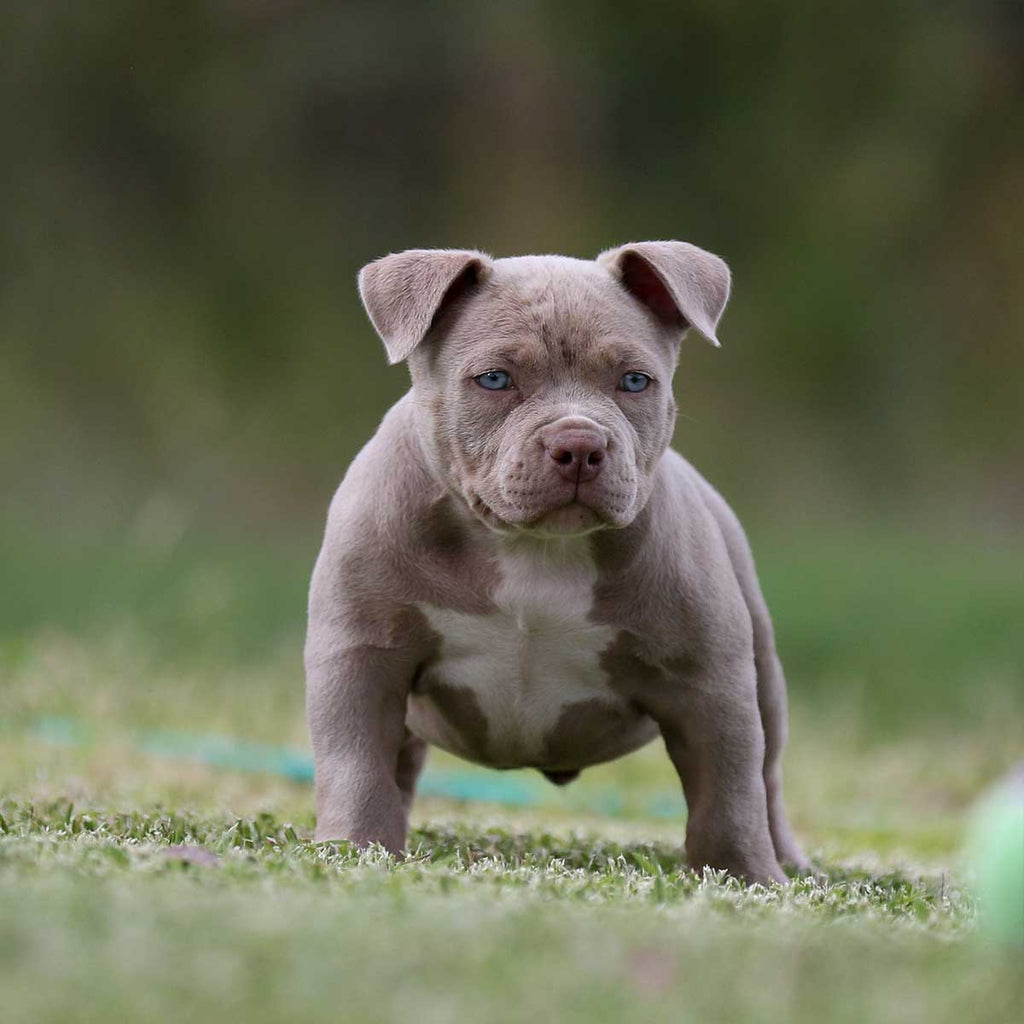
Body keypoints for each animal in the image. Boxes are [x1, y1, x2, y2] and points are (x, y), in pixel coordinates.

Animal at [303, 243, 806, 884]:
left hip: (763, 671)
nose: (580, 445)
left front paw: (745, 875)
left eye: (634, 381)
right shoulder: (362, 653)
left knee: (767, 776)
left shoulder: (709, 679)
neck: (534, 548)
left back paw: (788, 860)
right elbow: (356, 761)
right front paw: (355, 847)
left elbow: (730, 790)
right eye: (495, 379)